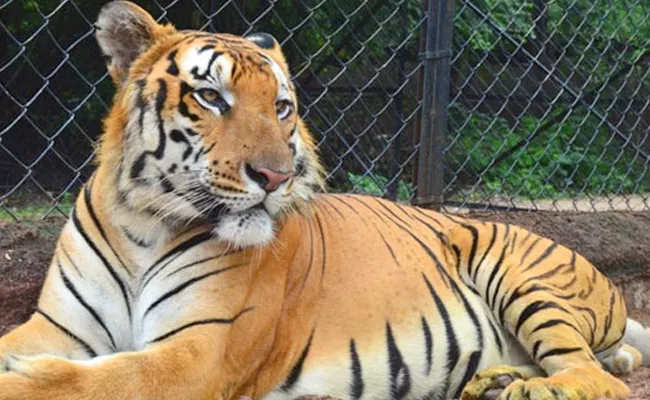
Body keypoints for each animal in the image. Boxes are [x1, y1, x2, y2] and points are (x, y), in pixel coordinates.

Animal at [1, 1, 648, 398]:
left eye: (281, 107)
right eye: (211, 97)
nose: (276, 176)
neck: (143, 224)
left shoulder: (198, 350)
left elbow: (83, 380)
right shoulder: (55, 326)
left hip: (519, 271)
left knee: (595, 375)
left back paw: (531, 387)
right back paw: (495, 381)